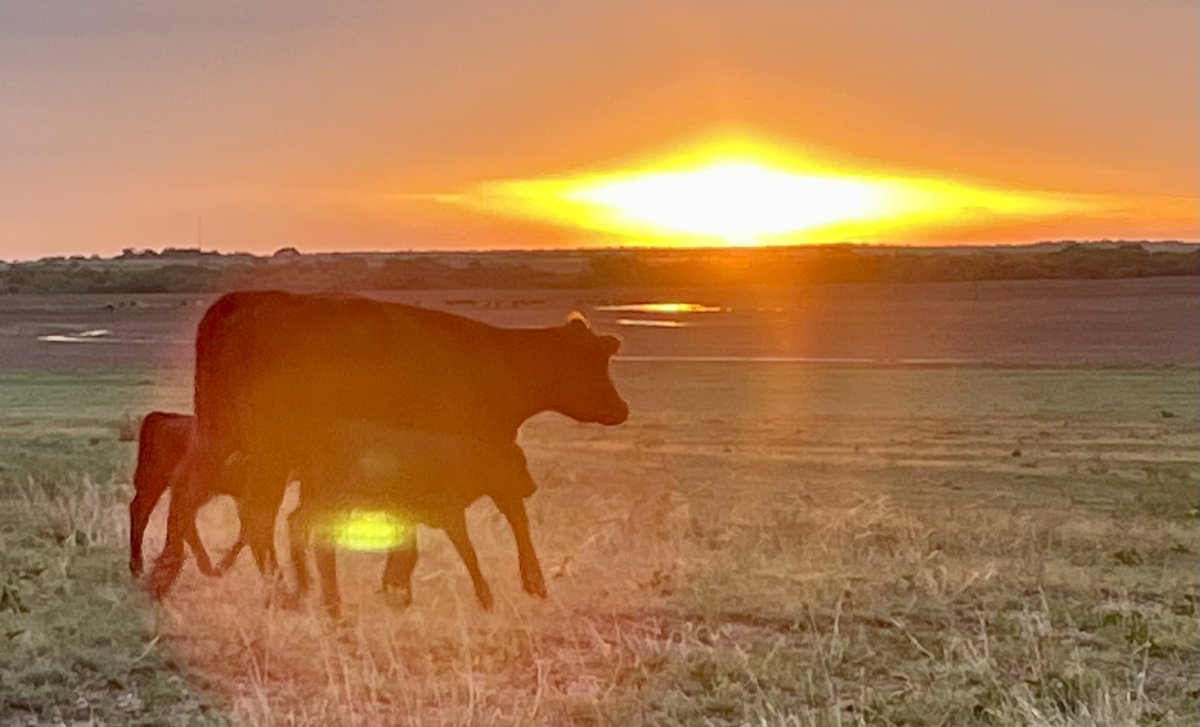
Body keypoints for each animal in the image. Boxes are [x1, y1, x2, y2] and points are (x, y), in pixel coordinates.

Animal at [289, 422, 537, 616]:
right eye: (520, 463)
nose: (532, 487)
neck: (469, 459)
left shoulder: (406, 517)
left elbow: (407, 555)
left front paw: (396, 595)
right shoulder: (452, 517)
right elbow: (468, 554)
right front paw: (486, 600)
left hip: (323, 500)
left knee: (296, 521)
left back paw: (303, 590)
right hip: (333, 500)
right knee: (317, 537)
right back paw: (325, 601)